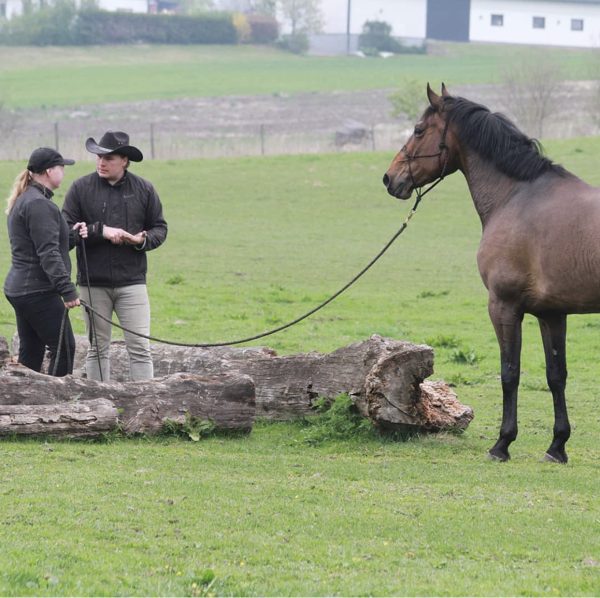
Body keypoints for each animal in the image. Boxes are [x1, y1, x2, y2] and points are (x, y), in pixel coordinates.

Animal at [384, 84, 600, 464]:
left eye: (419, 130)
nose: (389, 178)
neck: (517, 197)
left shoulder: (504, 306)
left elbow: (509, 373)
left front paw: (502, 443)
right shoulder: (552, 313)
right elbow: (556, 375)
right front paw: (557, 446)